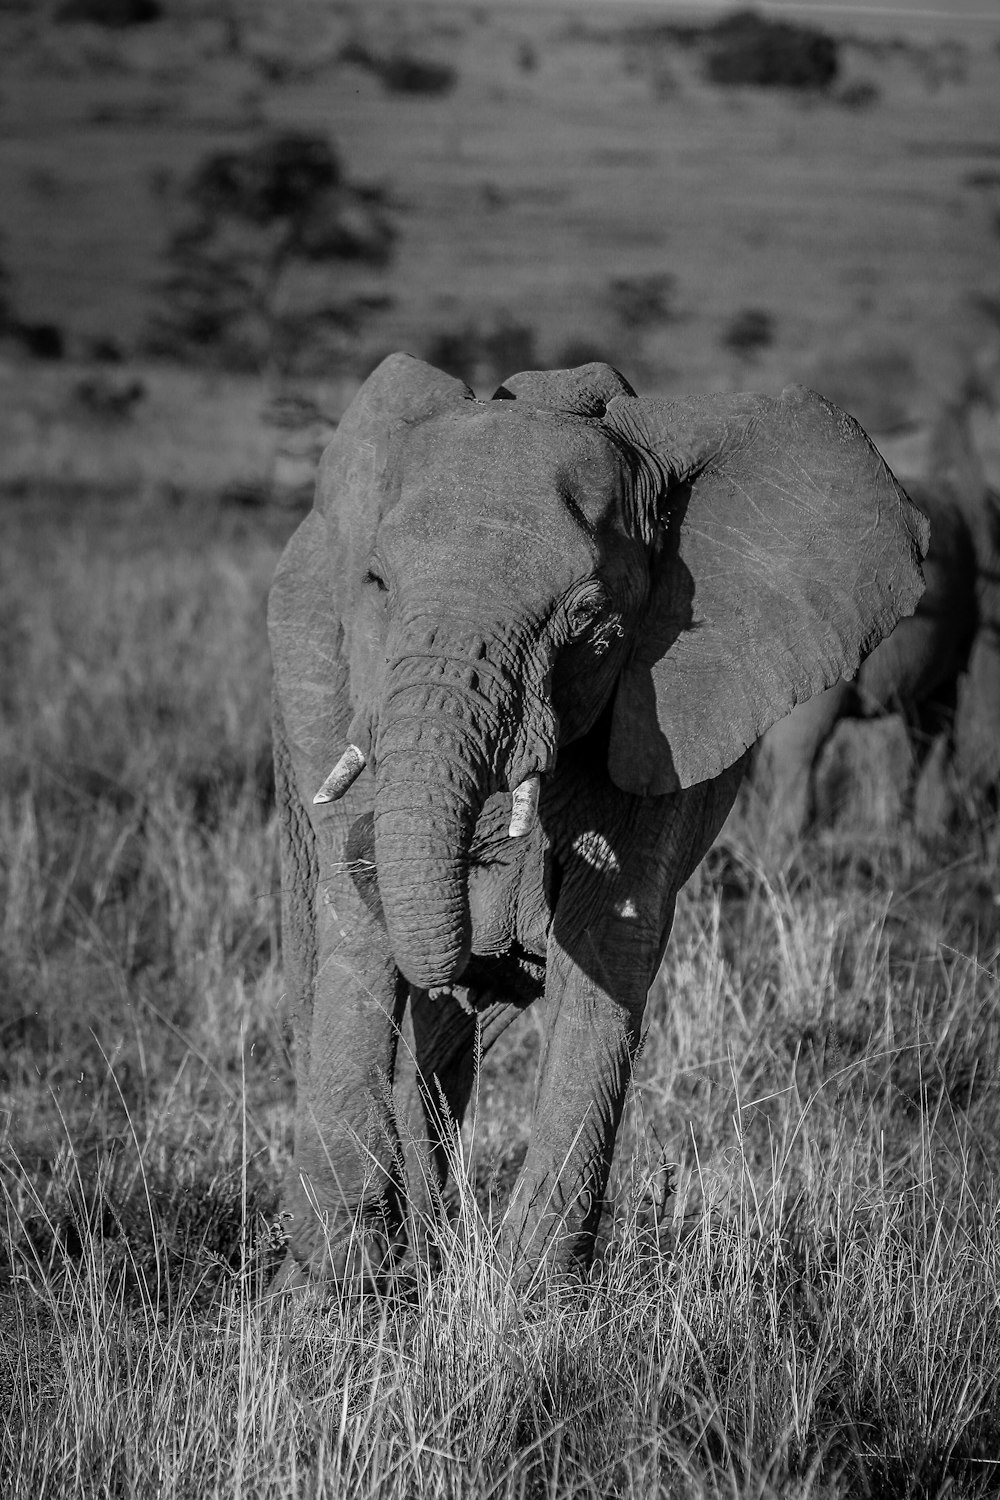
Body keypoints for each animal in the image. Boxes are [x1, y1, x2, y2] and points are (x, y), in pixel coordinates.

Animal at [268, 354, 929, 1290]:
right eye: (378, 586)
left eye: (586, 619)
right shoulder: (341, 681)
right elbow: (357, 928)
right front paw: (339, 1275)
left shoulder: (672, 710)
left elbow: (608, 937)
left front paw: (531, 1294)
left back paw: (428, 1238)